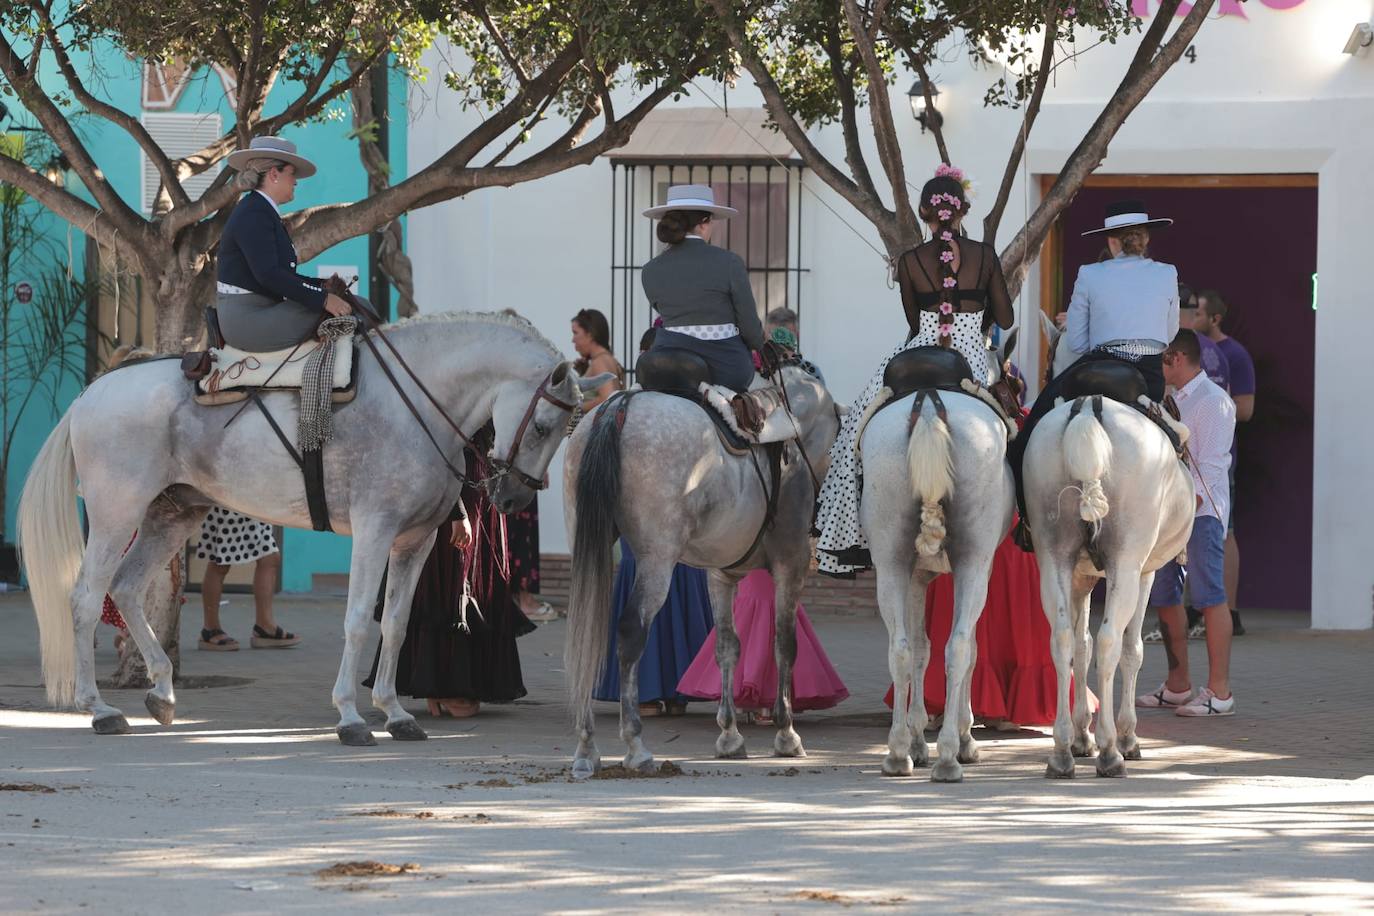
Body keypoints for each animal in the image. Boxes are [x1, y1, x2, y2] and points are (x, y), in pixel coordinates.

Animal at [16, 315, 607, 747]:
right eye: (543, 426)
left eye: (566, 430)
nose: (513, 499)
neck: (415, 405)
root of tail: (92, 394)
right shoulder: (375, 531)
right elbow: (359, 622)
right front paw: (350, 717)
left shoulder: (415, 541)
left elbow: (396, 623)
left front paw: (396, 713)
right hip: (117, 513)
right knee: (86, 598)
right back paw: (98, 708)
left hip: (171, 515)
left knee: (127, 589)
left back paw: (160, 692)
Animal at [557, 365, 835, 780]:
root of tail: (617, 409)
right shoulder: (792, 564)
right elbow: (785, 643)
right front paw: (786, 733)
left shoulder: (721, 576)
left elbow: (727, 646)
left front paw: (730, 736)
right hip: (657, 559)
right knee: (630, 632)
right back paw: (635, 745)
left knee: (588, 629)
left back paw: (587, 747)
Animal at [862, 390, 1016, 785]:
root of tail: (930, 404)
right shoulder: (982, 569)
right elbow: (971, 650)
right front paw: (964, 737)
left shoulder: (917, 575)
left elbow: (919, 650)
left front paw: (917, 741)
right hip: (973, 563)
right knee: (958, 647)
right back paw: (948, 756)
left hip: (890, 563)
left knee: (900, 649)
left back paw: (898, 753)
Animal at [1022, 398, 1192, 780]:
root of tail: (1088, 407)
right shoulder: (1144, 573)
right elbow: (1131, 650)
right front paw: (1126, 737)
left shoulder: (1080, 577)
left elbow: (1080, 645)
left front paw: (1080, 735)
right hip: (1125, 566)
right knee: (1110, 641)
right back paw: (1111, 749)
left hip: (1054, 558)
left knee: (1062, 640)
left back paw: (1061, 752)